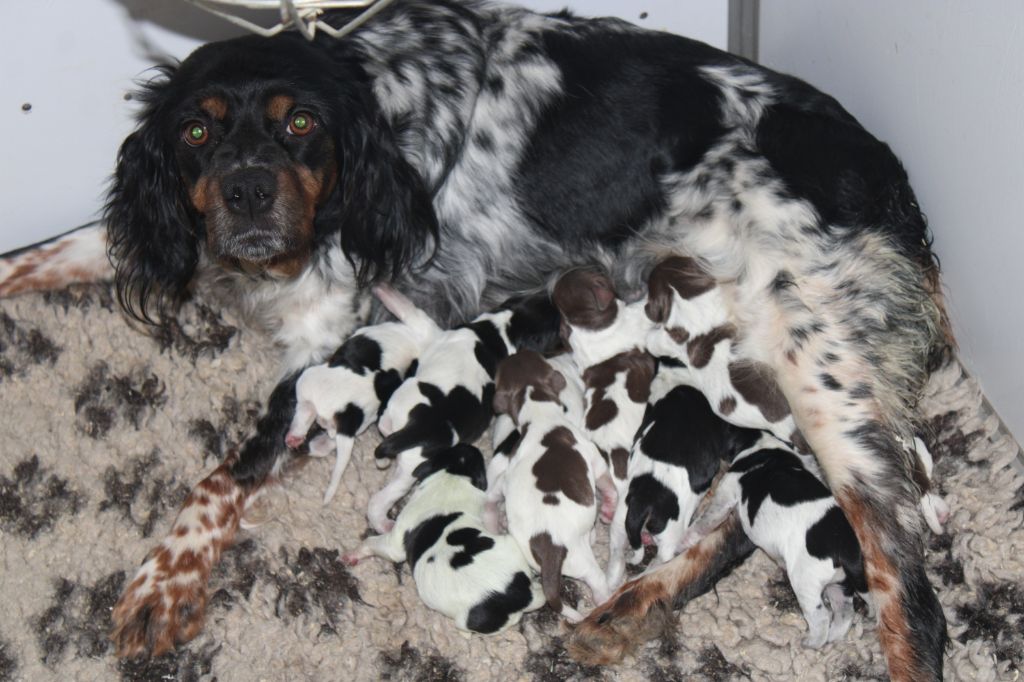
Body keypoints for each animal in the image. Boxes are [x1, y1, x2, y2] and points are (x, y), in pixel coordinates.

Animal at [339, 444, 544, 634]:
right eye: (455, 447)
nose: (471, 445)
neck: (452, 476)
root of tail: (522, 596)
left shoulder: (395, 542)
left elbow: (373, 543)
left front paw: (352, 554)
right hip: (510, 544)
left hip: (467, 621)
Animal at [491, 350, 610, 622]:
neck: (539, 415)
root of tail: (549, 550)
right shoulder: (594, 459)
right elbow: (608, 485)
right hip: (584, 564)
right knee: (598, 583)